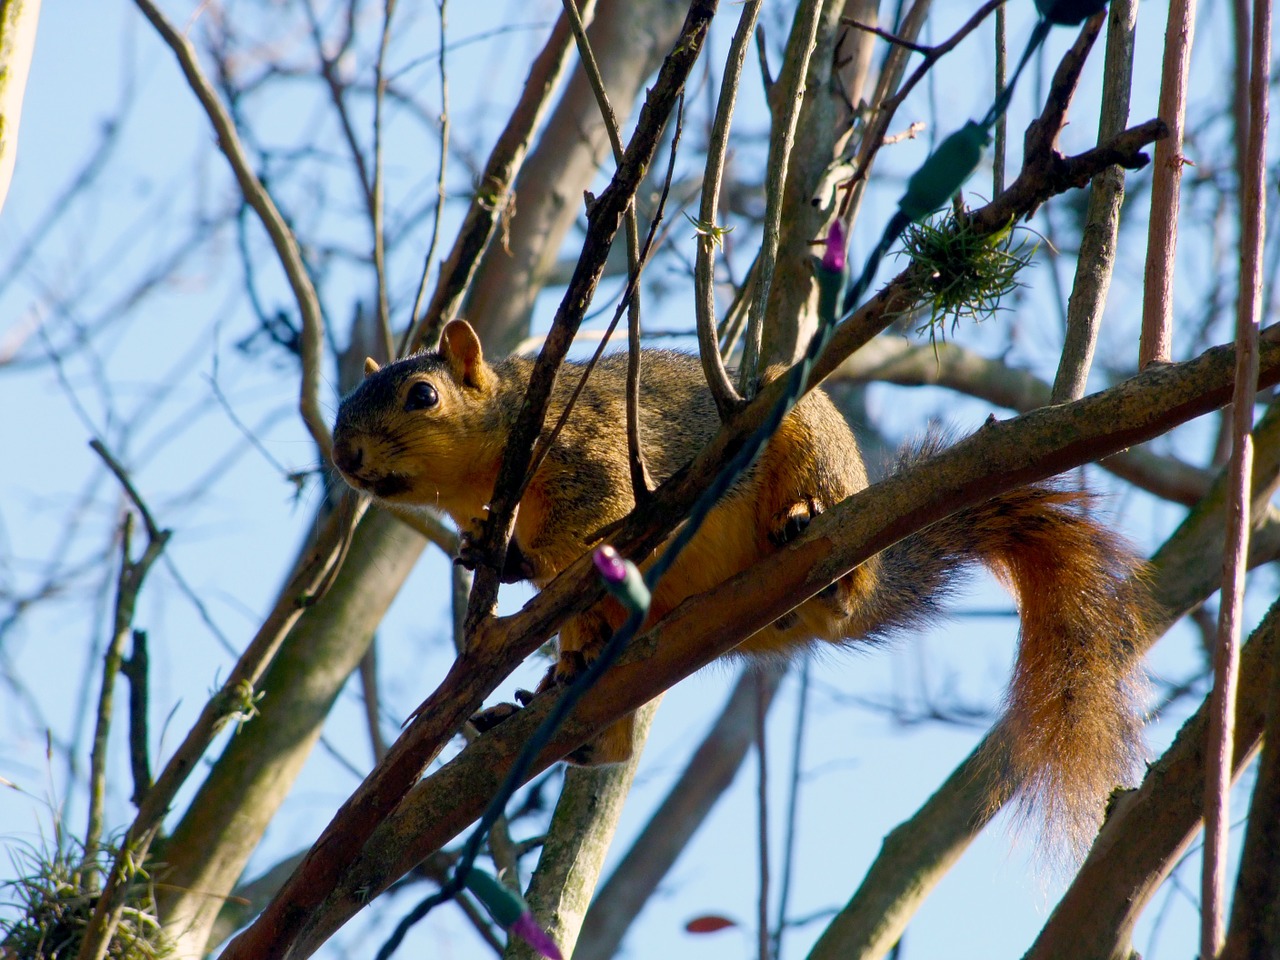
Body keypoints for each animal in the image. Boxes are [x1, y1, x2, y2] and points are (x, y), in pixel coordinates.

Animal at [331, 318, 1149, 850]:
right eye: (342, 405)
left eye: (423, 396)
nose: (344, 456)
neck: (497, 454)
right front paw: (487, 554)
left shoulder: (590, 451)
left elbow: (596, 521)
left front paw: (535, 568)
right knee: (612, 717)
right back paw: (561, 696)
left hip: (808, 443)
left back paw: (812, 535)